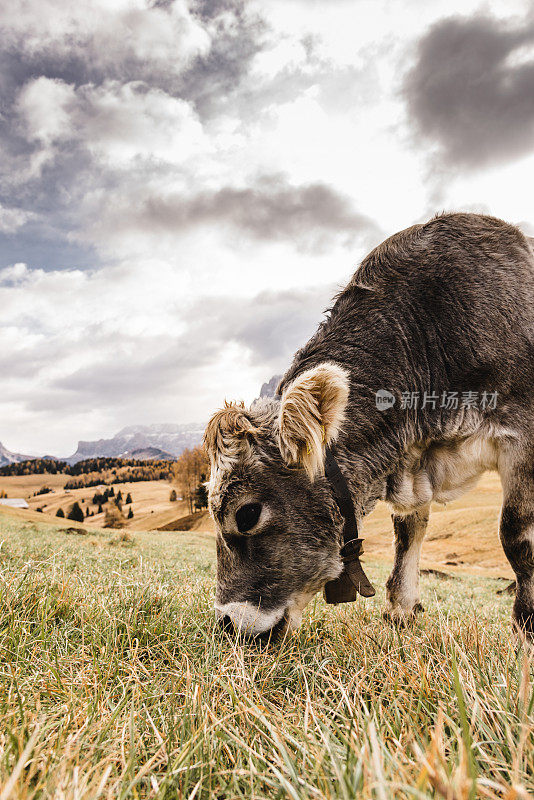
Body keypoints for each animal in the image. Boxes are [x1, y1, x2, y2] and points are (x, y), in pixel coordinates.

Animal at [204, 212, 534, 636]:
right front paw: (401, 609)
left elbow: (516, 536)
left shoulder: (521, 437)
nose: (226, 622)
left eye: (246, 514)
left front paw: (526, 629)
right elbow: (407, 531)